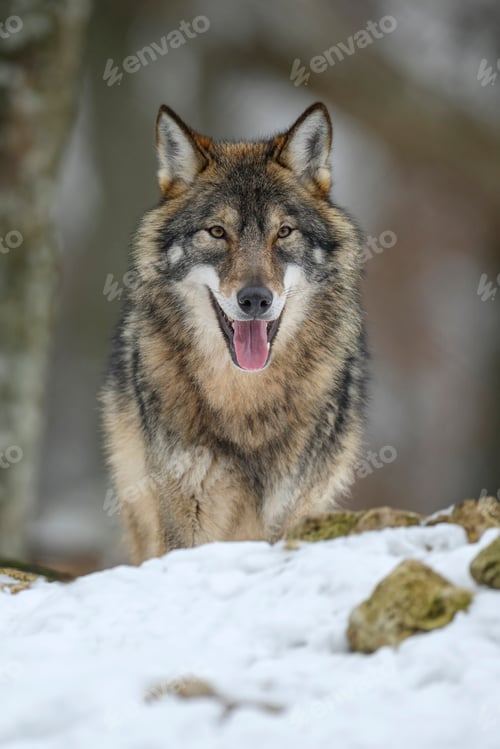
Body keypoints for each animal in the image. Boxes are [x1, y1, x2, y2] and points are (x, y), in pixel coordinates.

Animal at [102, 102, 368, 563]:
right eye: (217, 232)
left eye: (283, 232)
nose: (255, 300)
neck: (246, 401)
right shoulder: (185, 508)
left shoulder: (287, 511)